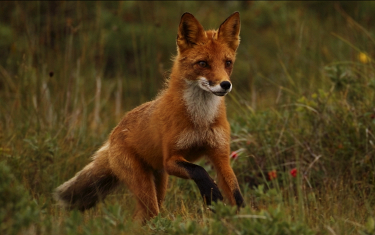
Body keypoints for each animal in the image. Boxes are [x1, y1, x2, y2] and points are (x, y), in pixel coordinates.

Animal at [54, 11, 245, 224]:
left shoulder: (221, 157)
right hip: (146, 186)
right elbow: (199, 170)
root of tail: (113, 135)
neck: (200, 121)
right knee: (144, 218)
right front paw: (212, 195)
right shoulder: (170, 159)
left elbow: (236, 193)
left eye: (227, 63)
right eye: (203, 63)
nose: (225, 85)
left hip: (159, 183)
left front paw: (244, 217)